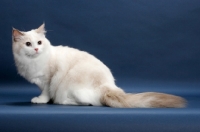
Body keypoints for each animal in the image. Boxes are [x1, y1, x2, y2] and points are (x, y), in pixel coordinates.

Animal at [11, 23, 185, 108]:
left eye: (39, 42)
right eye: (28, 44)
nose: (36, 49)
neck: (33, 62)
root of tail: (108, 86)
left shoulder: (48, 80)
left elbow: (46, 93)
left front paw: (41, 100)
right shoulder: (40, 81)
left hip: (70, 84)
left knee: (88, 102)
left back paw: (62, 102)